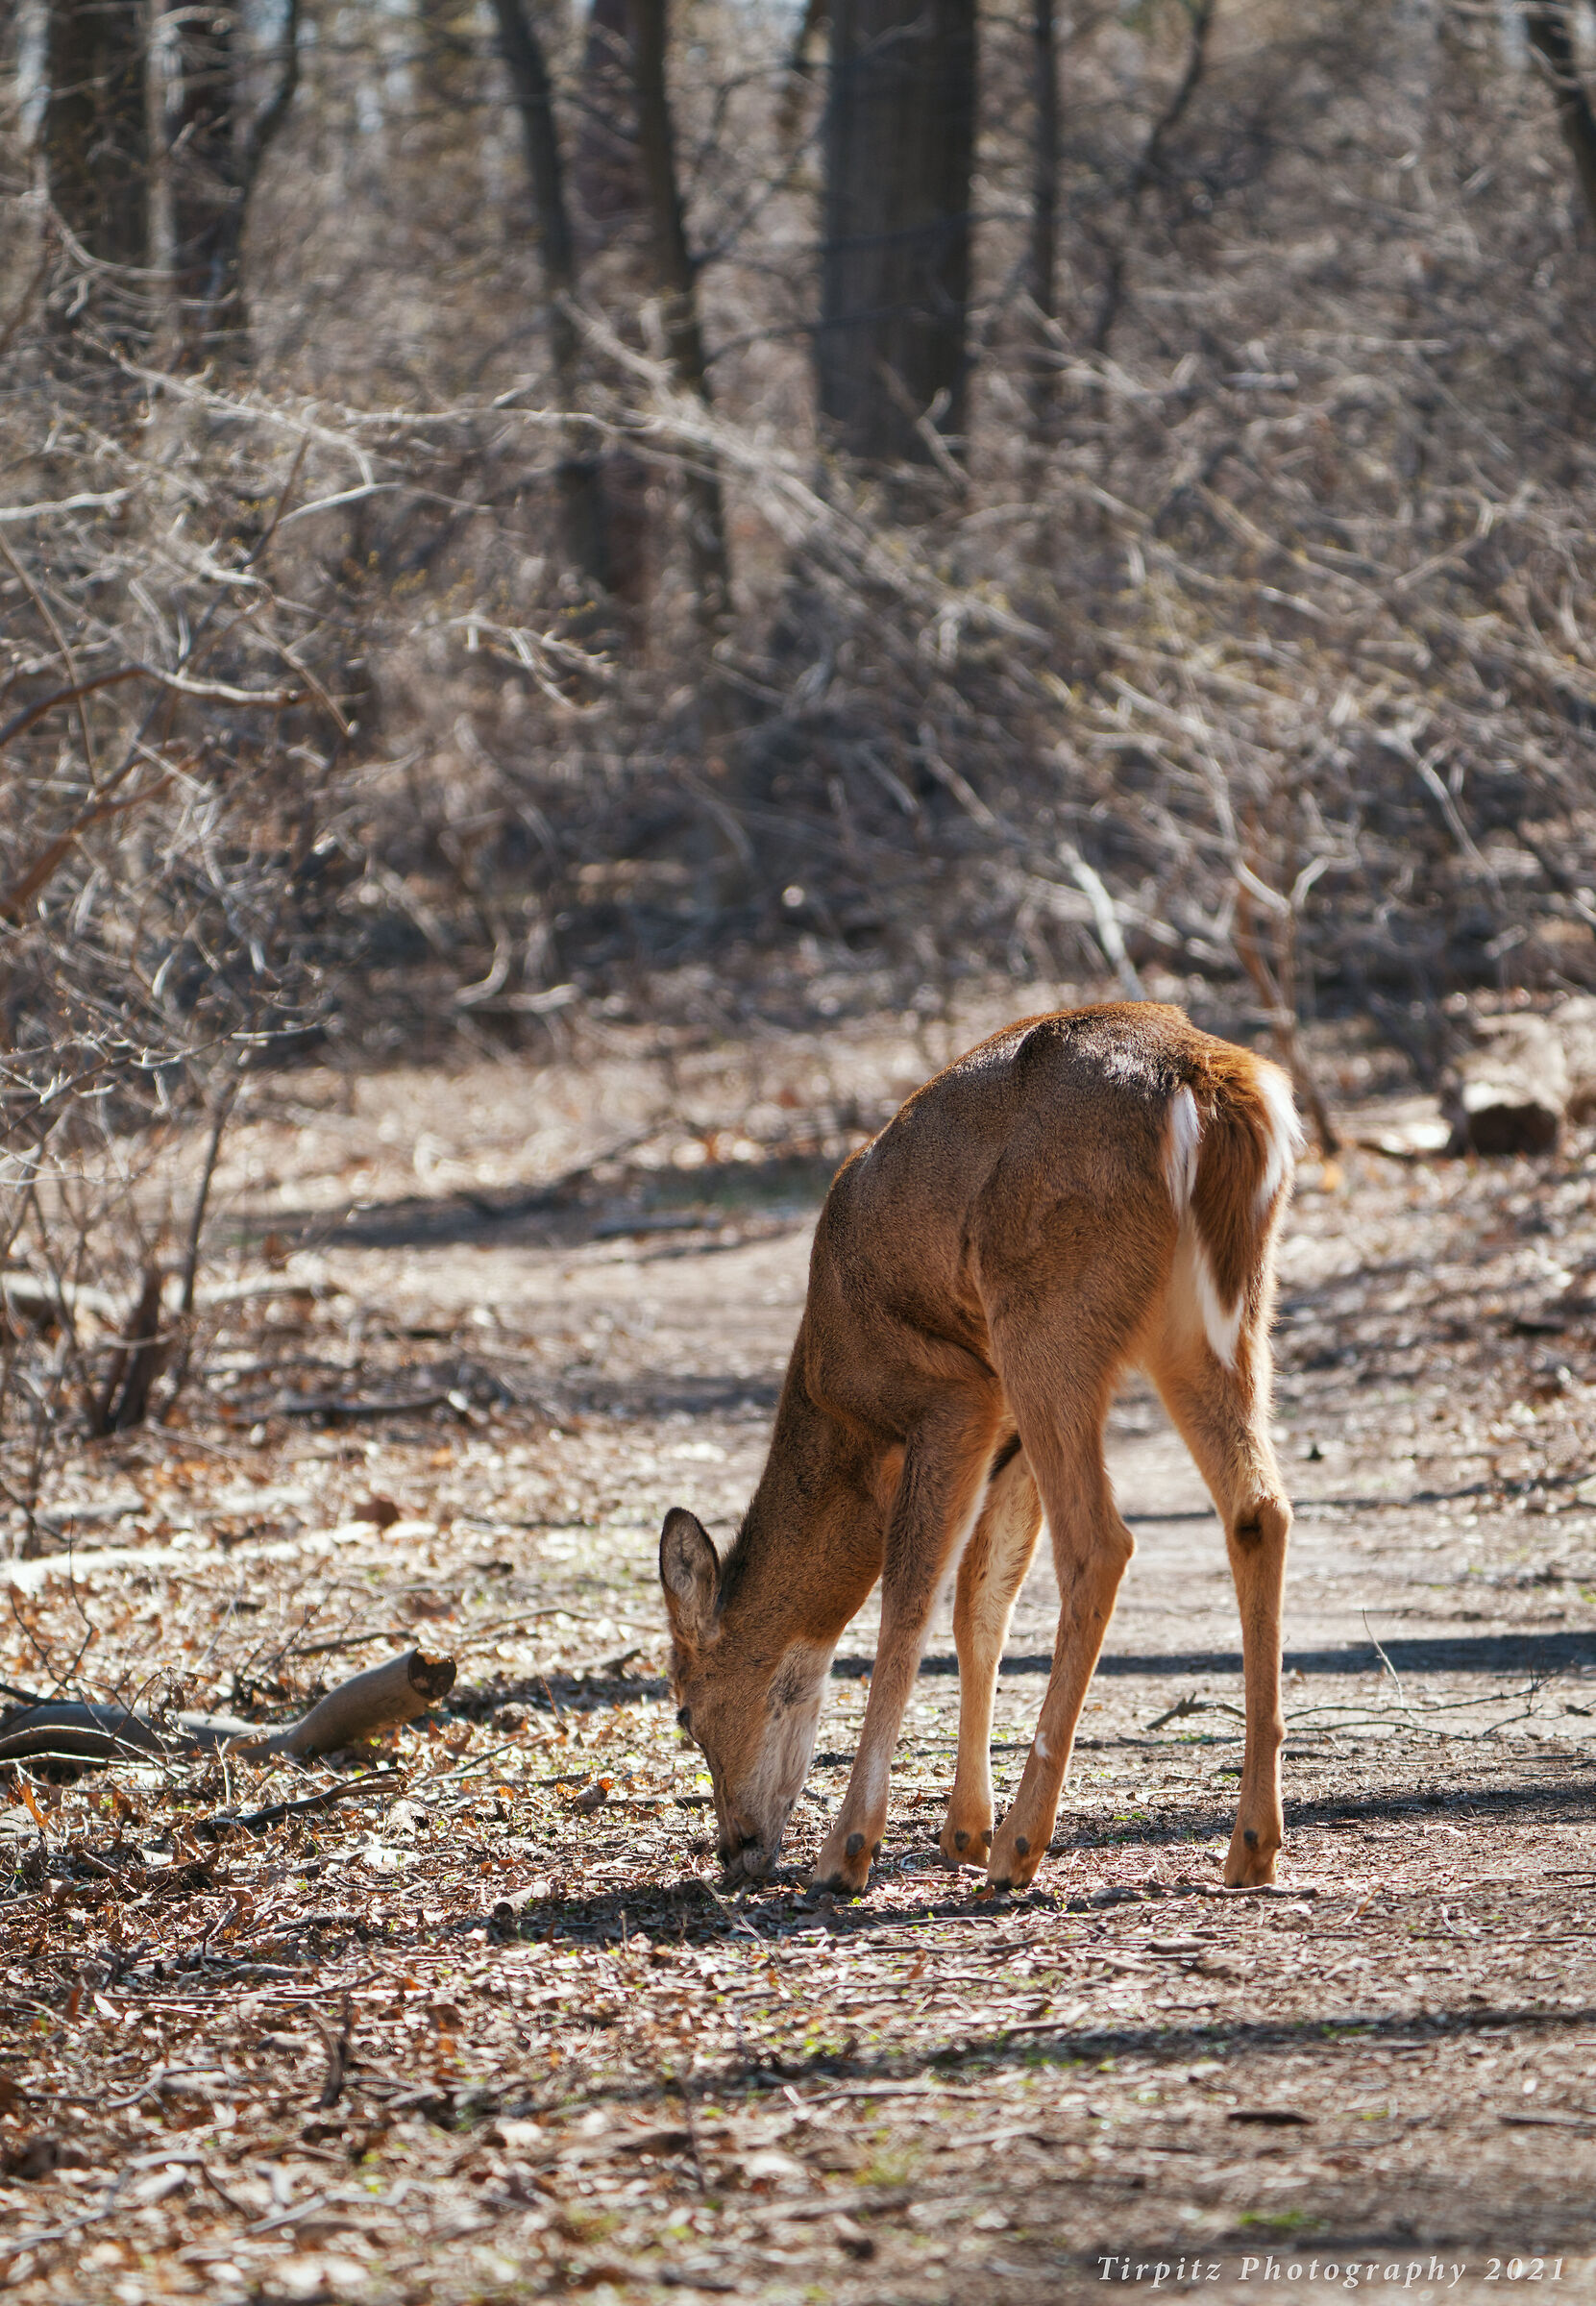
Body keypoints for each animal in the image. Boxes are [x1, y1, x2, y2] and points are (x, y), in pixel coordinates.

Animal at [658, 1002, 1303, 1897]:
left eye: (684, 1708)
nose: (735, 1850)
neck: (841, 1408)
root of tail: (1206, 1084)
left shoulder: (953, 1395)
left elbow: (909, 1602)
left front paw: (852, 1850)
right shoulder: (1004, 1439)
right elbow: (979, 1607)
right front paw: (960, 1828)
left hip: (1045, 1315)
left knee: (1100, 1542)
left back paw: (1020, 1849)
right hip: (1218, 1319)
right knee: (1257, 1509)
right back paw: (1248, 1846)